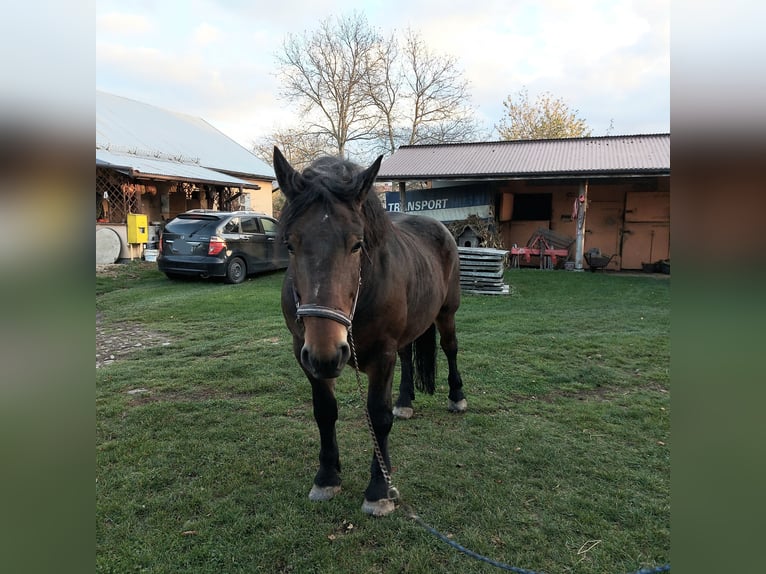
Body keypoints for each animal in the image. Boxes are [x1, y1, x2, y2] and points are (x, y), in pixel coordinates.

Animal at [276, 147, 468, 516]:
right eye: (289, 245)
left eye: (356, 244)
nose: (327, 351)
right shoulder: (304, 353)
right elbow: (325, 412)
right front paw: (327, 477)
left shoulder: (381, 354)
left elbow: (377, 417)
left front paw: (379, 489)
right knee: (408, 357)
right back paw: (405, 401)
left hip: (447, 313)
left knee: (450, 348)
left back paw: (457, 397)